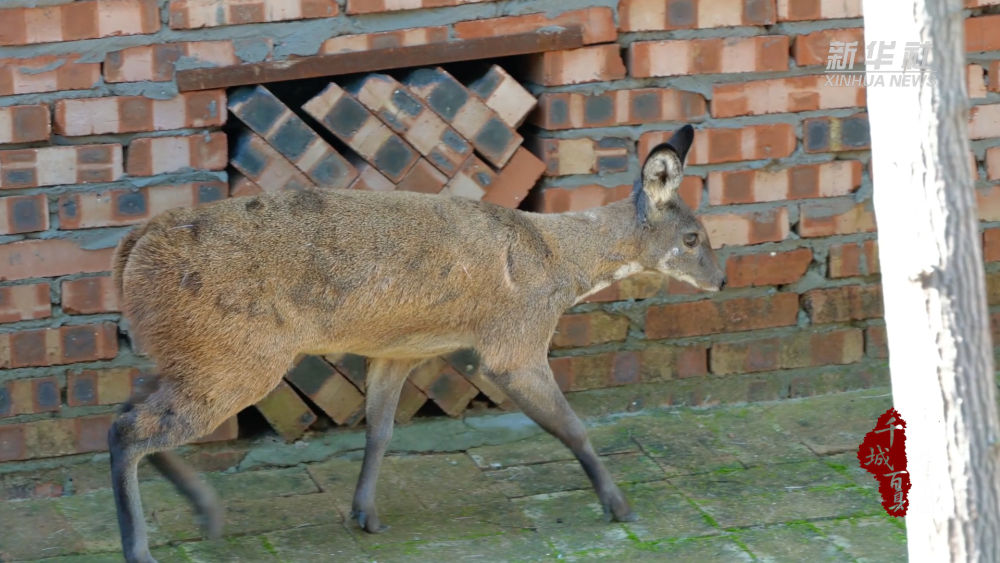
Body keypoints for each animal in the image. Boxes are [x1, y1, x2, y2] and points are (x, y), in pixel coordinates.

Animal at [109, 125, 720, 560]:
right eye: (692, 237)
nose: (720, 280)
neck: (559, 263)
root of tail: (132, 247)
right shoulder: (515, 341)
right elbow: (571, 426)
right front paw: (621, 507)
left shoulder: (397, 350)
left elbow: (379, 432)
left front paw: (364, 515)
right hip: (238, 354)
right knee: (126, 429)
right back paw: (141, 549)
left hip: (189, 349)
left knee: (128, 405)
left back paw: (207, 514)